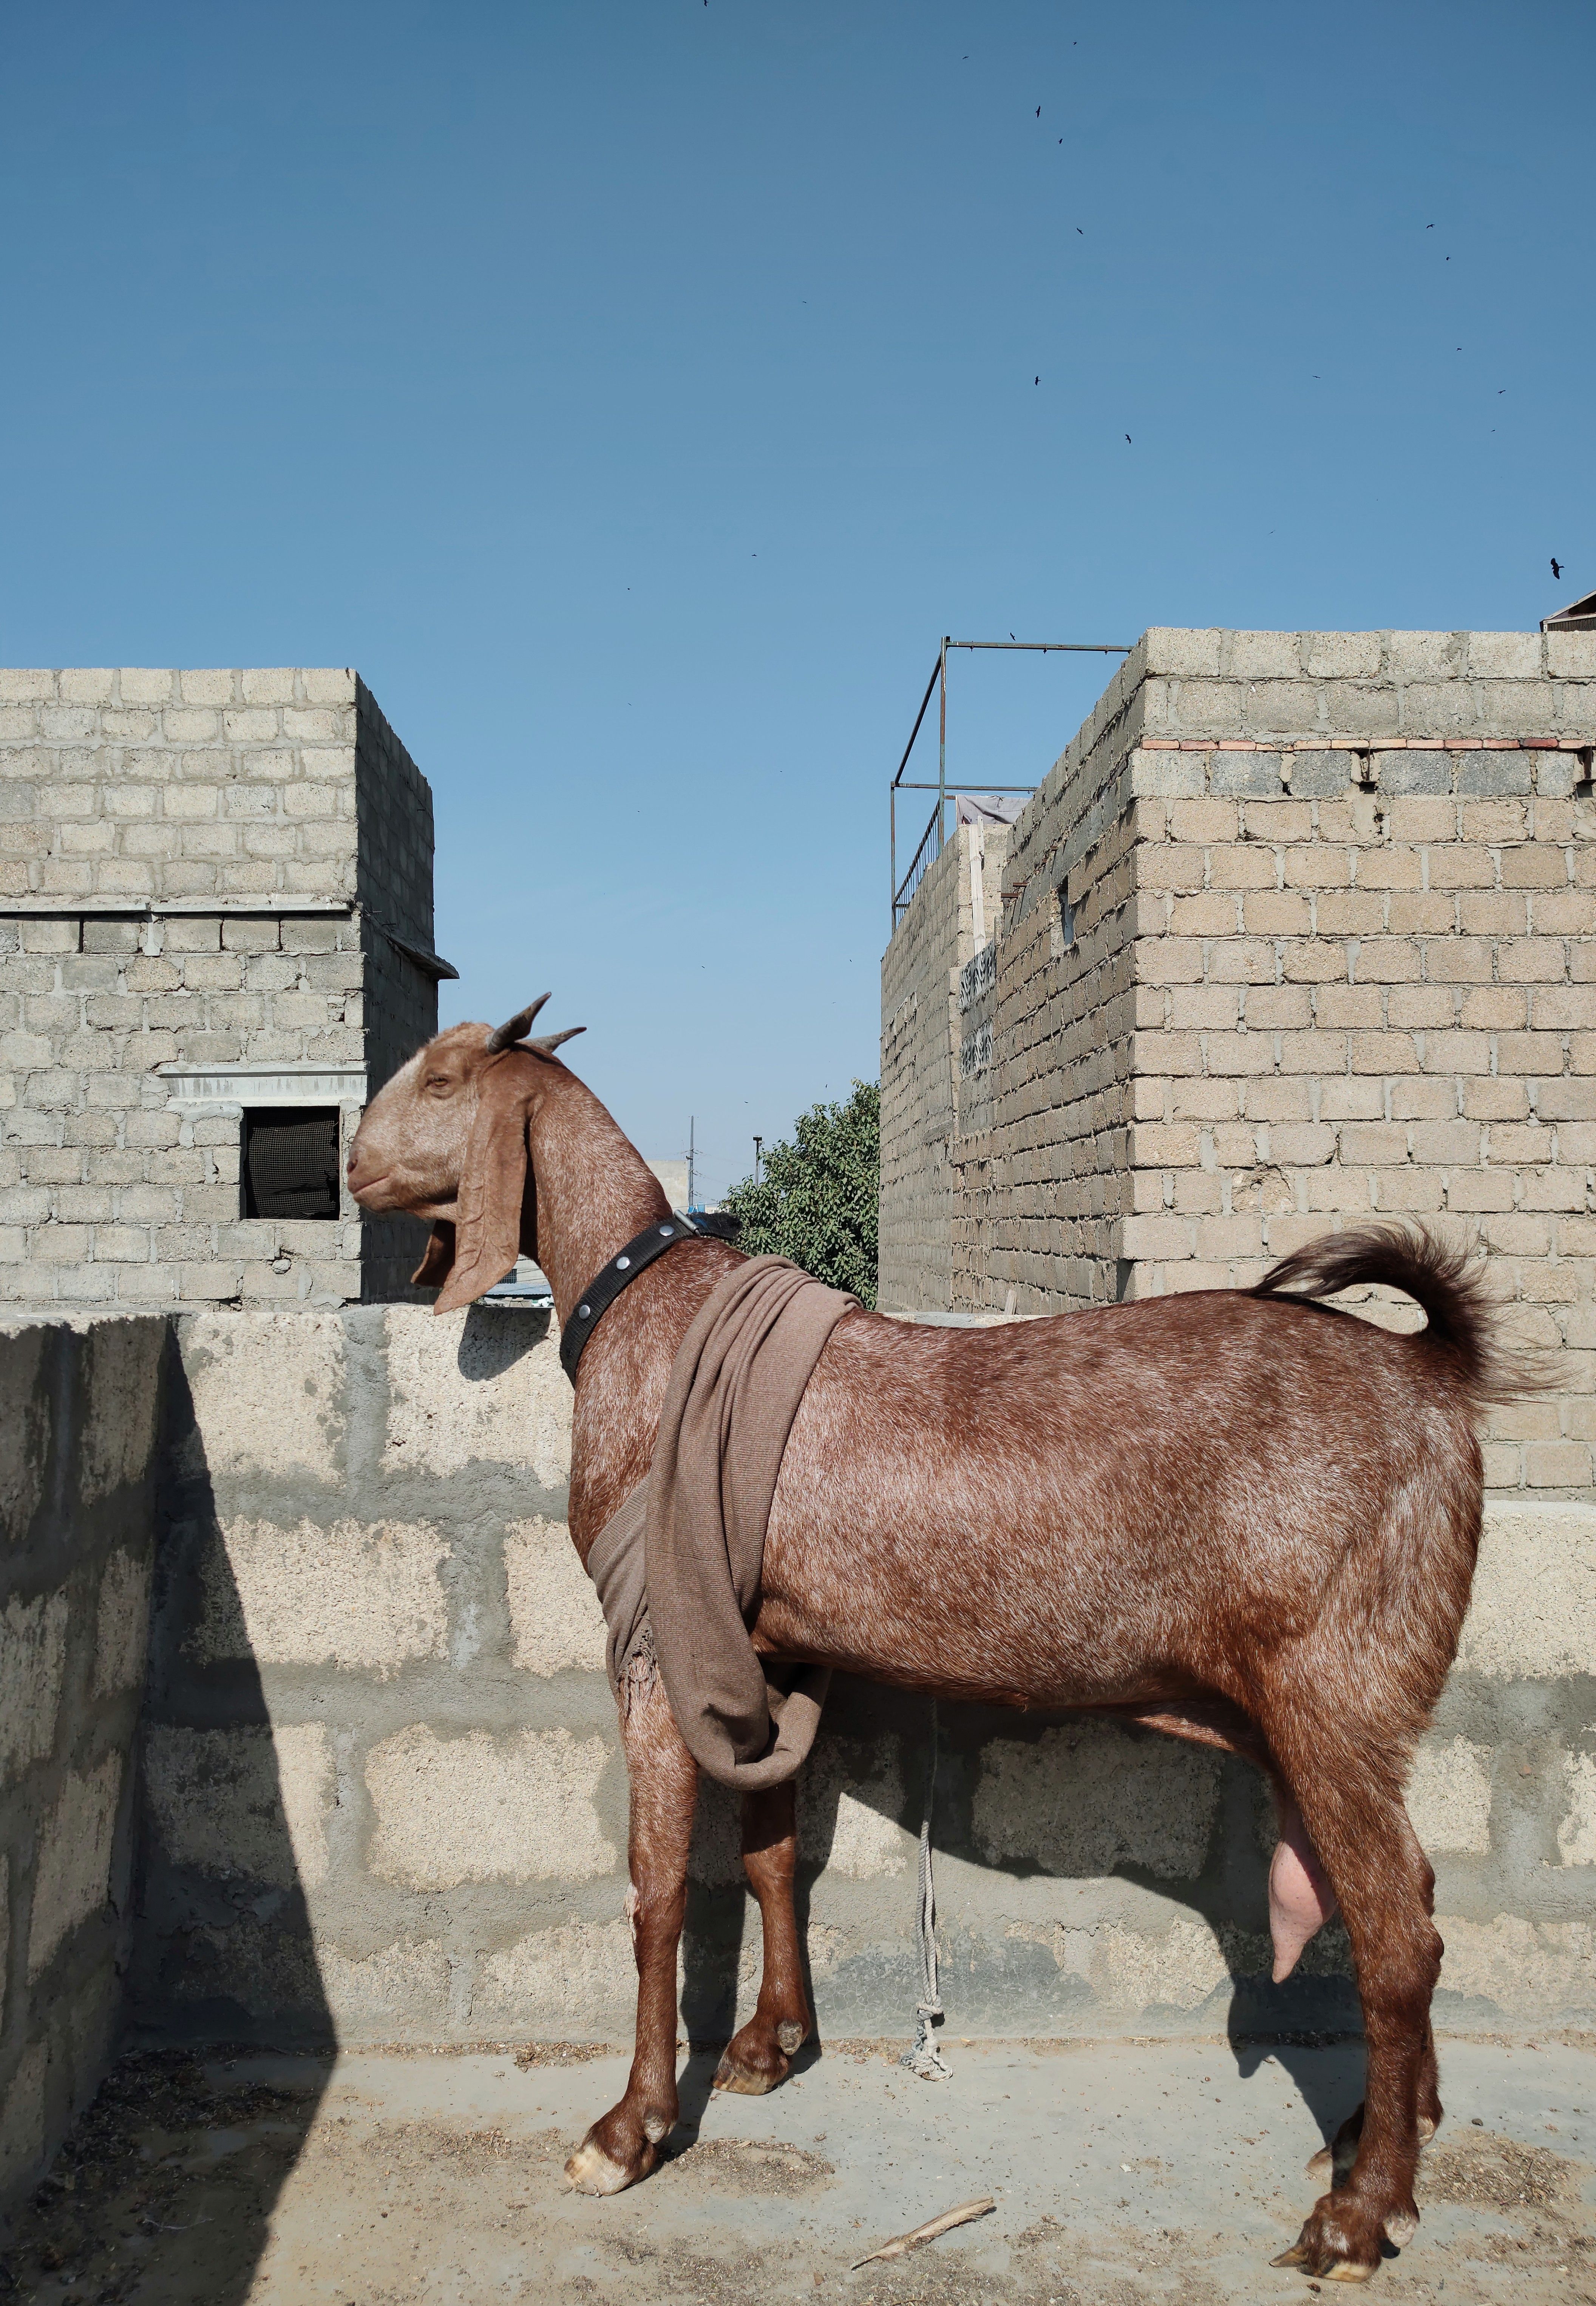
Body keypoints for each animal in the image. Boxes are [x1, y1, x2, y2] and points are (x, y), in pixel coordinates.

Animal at [348, 998, 1534, 2283]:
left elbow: (655, 1887)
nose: (351, 1164)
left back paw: (1361, 2214)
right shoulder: (764, 1650)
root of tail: (1432, 1371)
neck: (648, 1318)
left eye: (446, 1079)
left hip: (1335, 1688)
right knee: (1409, 1895)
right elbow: (771, 1849)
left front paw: (627, 2131)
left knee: (1399, 1935)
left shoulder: (661, 1639)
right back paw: (1382, 2132)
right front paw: (770, 2046)